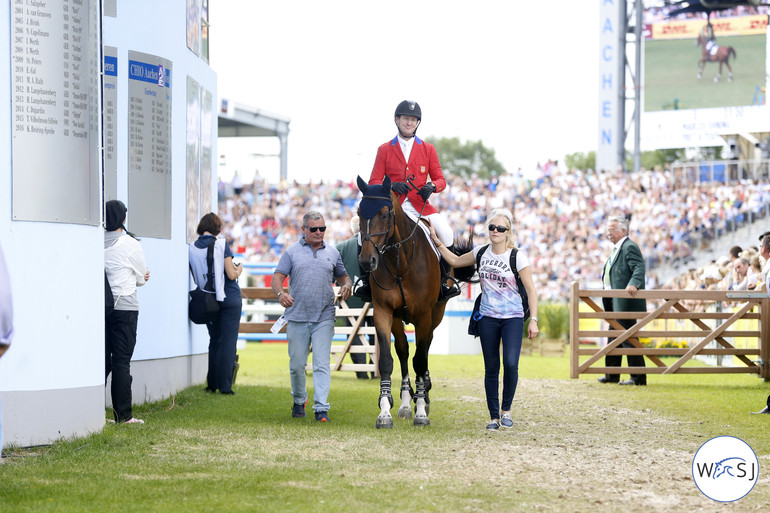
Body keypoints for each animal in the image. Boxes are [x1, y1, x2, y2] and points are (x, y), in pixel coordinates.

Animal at [356, 174, 474, 426]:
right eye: (360, 212)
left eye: (384, 214)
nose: (367, 262)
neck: (399, 259)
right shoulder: (384, 312)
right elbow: (388, 360)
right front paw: (385, 411)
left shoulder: (423, 315)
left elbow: (420, 360)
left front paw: (421, 410)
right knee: (403, 351)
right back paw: (403, 401)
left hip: (436, 314)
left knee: (425, 347)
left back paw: (424, 392)